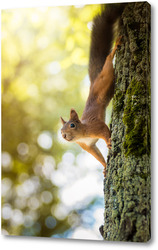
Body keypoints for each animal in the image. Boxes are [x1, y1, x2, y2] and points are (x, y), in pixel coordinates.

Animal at [60, 2, 124, 177]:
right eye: (60, 130)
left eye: (72, 125)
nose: (64, 136)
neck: (82, 134)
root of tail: (93, 81)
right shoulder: (89, 146)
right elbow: (98, 156)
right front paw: (105, 167)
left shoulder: (96, 127)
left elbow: (105, 131)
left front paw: (109, 142)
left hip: (106, 75)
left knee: (108, 60)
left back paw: (115, 47)